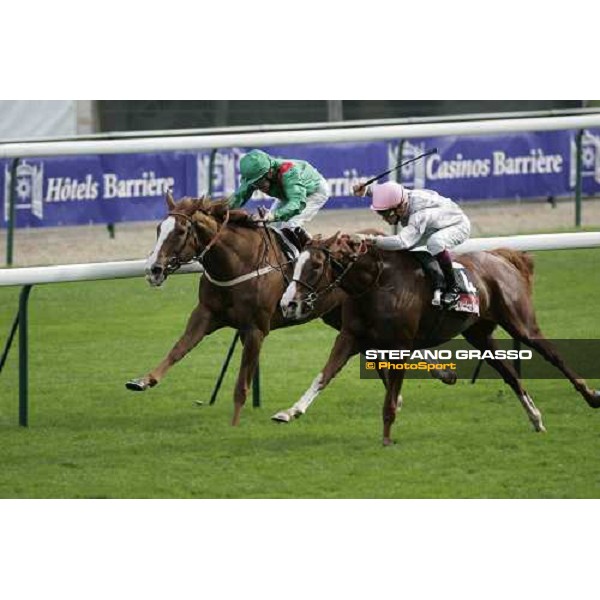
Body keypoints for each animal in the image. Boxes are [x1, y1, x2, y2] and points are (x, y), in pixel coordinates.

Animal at [276, 234, 600, 446]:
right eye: (294, 264)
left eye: (316, 266)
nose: (288, 304)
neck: (377, 283)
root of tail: (501, 257)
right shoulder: (351, 336)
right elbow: (324, 376)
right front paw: (290, 411)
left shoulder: (401, 346)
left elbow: (390, 397)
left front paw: (386, 438)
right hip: (479, 335)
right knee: (509, 374)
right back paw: (535, 417)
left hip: (521, 324)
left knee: (554, 355)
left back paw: (590, 395)